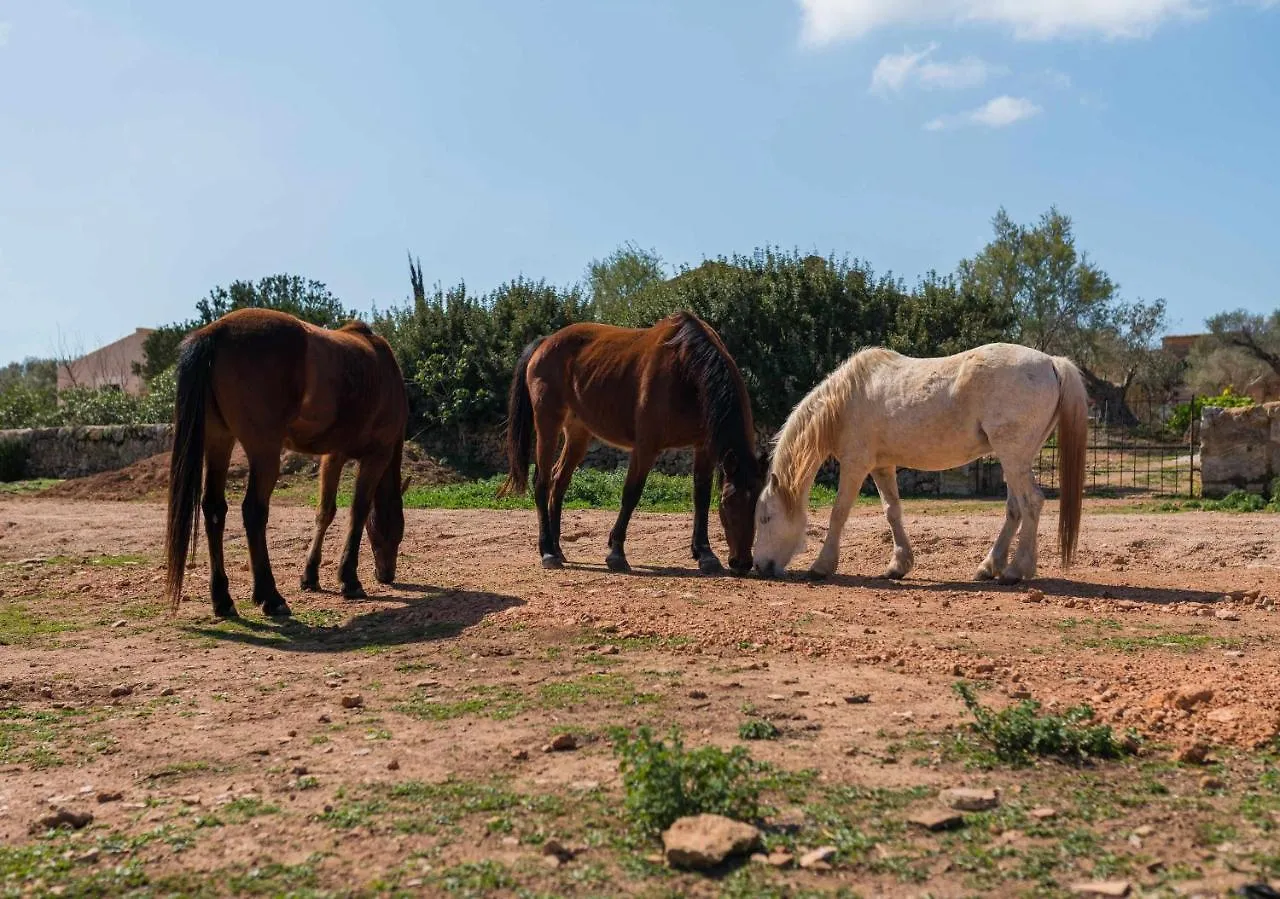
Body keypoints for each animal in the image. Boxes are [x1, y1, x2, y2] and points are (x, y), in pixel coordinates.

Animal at [162, 309, 407, 619]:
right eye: (397, 531)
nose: (387, 574)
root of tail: (214, 334)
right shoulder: (377, 456)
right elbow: (358, 512)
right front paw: (349, 579)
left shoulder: (333, 455)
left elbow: (325, 512)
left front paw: (310, 576)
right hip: (264, 451)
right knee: (253, 512)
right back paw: (271, 596)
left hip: (219, 440)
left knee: (214, 510)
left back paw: (223, 599)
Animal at [496, 313, 757, 573]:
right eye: (728, 503)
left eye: (758, 503)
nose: (743, 562)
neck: (686, 370)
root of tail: (545, 342)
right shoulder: (646, 447)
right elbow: (631, 494)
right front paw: (616, 553)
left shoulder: (703, 447)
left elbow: (701, 496)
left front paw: (705, 553)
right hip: (548, 424)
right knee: (542, 482)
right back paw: (548, 552)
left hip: (578, 433)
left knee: (559, 481)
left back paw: (557, 548)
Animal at [752, 343, 1085, 583]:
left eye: (765, 518)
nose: (760, 566)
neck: (845, 401)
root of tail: (1051, 362)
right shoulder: (881, 467)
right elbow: (892, 512)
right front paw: (898, 565)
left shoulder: (855, 465)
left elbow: (839, 513)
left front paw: (822, 566)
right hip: (1015, 459)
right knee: (1015, 510)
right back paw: (989, 567)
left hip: (1013, 457)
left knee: (1032, 503)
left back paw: (1016, 571)